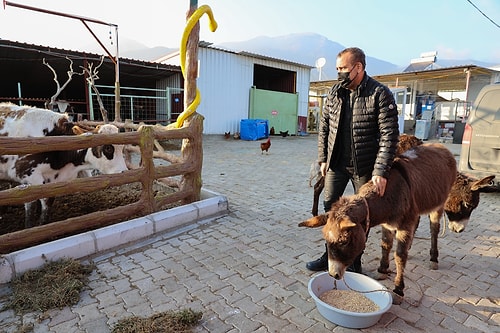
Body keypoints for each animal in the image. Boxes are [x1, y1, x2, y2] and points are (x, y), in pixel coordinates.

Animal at [0, 102, 128, 226]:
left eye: (122, 147)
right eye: (108, 148)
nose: (124, 172)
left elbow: (46, 208)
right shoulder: (28, 178)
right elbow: (31, 211)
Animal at [300, 143, 458, 298]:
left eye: (344, 242)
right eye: (326, 240)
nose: (333, 275)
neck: (390, 194)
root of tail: (442, 147)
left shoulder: (404, 225)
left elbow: (399, 255)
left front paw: (398, 289)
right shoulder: (387, 224)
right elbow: (385, 246)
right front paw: (382, 270)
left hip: (439, 205)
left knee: (434, 230)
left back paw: (433, 258)